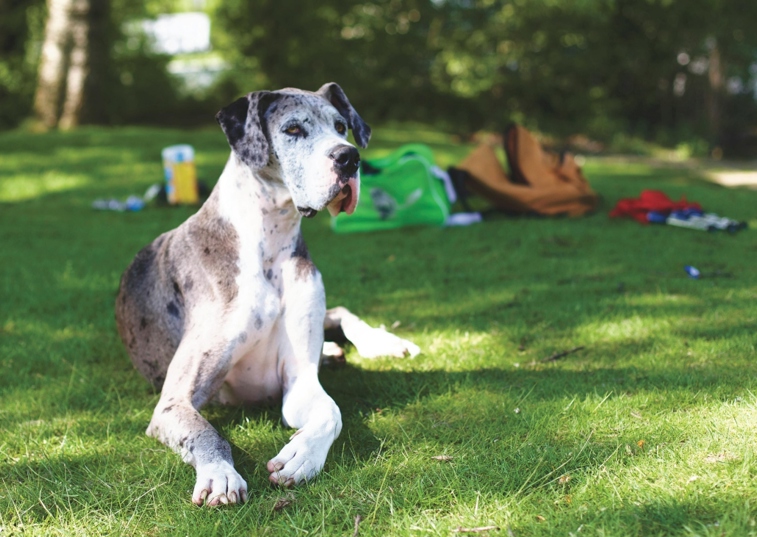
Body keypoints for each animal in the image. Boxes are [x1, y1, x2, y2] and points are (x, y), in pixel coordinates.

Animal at [116, 81, 420, 504]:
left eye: (341, 127)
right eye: (293, 129)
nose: (349, 157)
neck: (269, 242)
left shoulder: (300, 381)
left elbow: (332, 413)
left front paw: (302, 456)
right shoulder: (174, 401)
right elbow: (206, 433)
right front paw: (219, 474)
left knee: (340, 312)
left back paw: (380, 343)